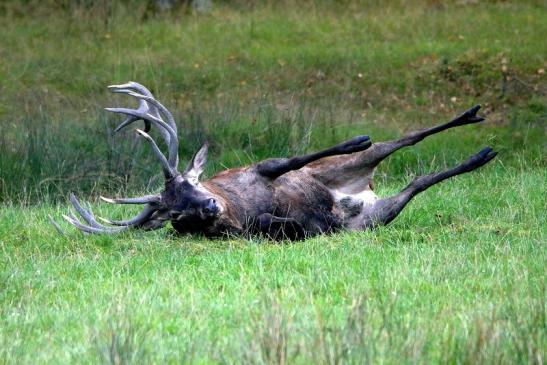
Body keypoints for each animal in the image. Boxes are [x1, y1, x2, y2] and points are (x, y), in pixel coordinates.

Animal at [62, 82, 498, 239]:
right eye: (174, 214)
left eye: (190, 183)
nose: (209, 207)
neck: (239, 206)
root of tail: (367, 191)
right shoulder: (251, 229)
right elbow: (286, 225)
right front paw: (298, 222)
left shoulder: (262, 168)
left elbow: (293, 157)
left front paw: (355, 137)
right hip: (376, 217)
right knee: (417, 182)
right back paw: (479, 155)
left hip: (361, 170)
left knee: (409, 138)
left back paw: (473, 120)